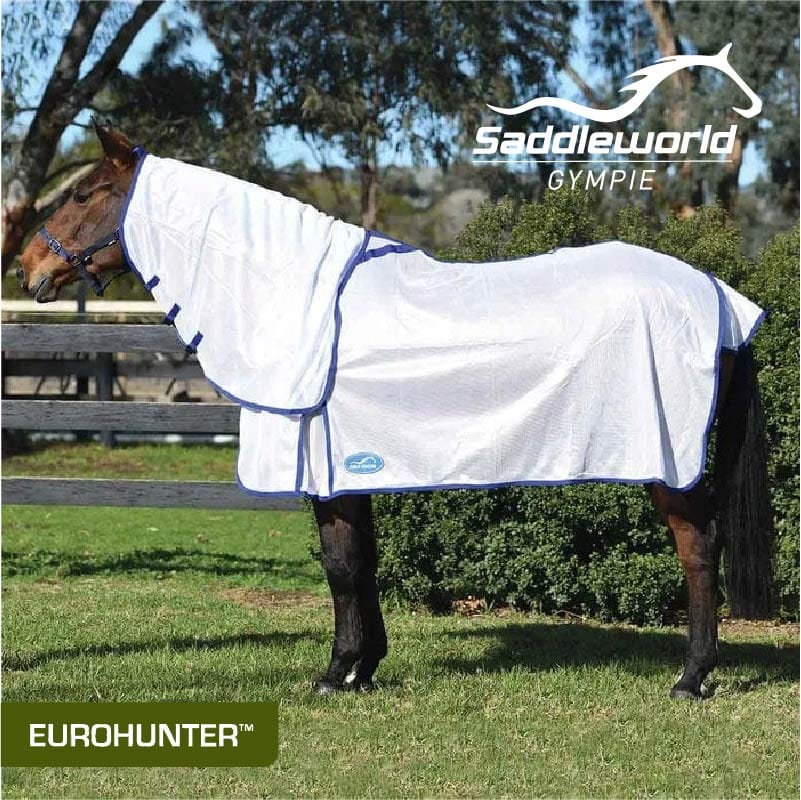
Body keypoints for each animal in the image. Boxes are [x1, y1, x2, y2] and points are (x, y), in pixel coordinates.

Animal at [17, 124, 774, 700]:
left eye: (83, 192)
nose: (26, 269)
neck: (297, 300)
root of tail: (716, 294)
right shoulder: (350, 469)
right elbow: (361, 561)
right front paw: (363, 668)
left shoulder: (322, 470)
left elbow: (339, 566)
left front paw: (335, 673)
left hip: (669, 465)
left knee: (698, 550)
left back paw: (691, 679)